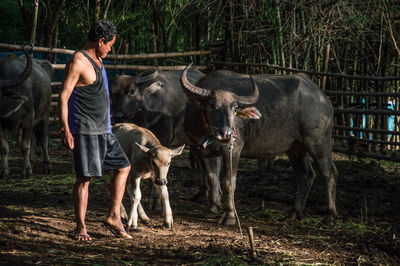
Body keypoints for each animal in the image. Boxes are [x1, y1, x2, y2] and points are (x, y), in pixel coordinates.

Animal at [0, 50, 52, 179]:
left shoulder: (27, 121)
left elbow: (24, 146)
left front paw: (27, 172)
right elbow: (4, 148)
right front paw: (4, 172)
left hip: (45, 115)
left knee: (43, 138)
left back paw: (47, 166)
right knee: (34, 138)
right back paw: (32, 162)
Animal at [181, 64, 338, 224]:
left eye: (235, 108)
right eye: (212, 104)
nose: (227, 134)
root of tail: (322, 96)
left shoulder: (233, 150)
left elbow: (228, 182)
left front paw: (229, 216)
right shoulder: (203, 152)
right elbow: (212, 178)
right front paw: (212, 209)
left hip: (319, 141)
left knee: (329, 173)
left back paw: (330, 215)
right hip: (296, 148)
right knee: (306, 175)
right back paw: (295, 212)